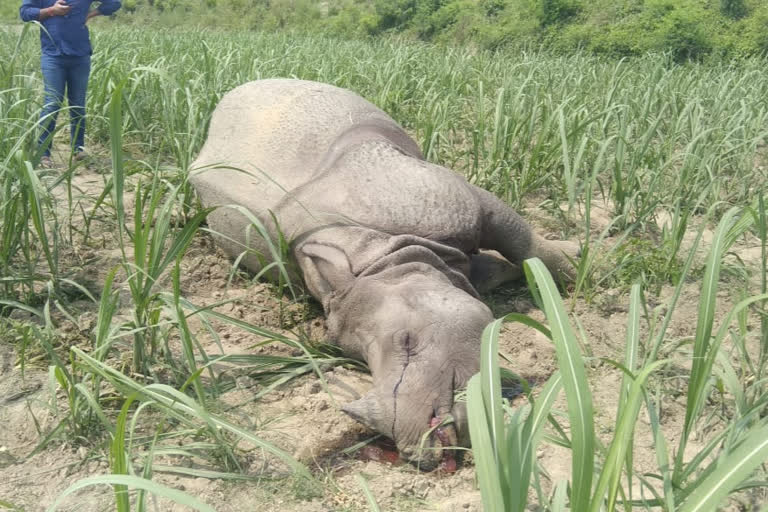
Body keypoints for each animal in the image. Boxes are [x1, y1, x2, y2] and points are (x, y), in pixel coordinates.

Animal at [190, 78, 576, 470]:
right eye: (358, 359)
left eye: (407, 342)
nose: (411, 448)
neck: (389, 256)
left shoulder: (455, 200)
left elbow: (520, 238)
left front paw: (577, 266)